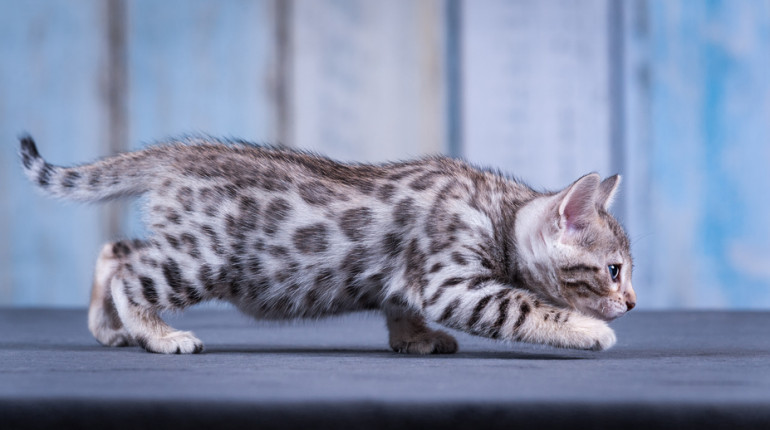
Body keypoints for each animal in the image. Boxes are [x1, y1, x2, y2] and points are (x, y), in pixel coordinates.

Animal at [18, 136, 632, 354]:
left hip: (182, 248)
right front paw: (588, 330)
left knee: (116, 251)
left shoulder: (412, 283)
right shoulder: (452, 281)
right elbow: (523, 307)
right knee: (130, 274)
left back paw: (106, 328)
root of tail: (180, 153)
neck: (499, 212)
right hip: (202, 259)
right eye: (614, 270)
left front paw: (414, 340)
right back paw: (158, 335)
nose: (630, 304)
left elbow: (400, 307)